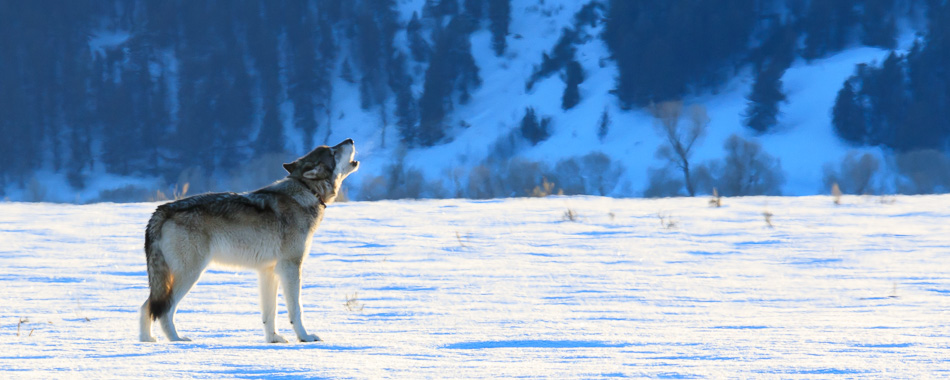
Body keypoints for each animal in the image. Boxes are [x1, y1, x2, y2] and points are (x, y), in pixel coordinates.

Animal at [140, 138, 360, 342]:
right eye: (333, 152)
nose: (350, 139)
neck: (306, 191)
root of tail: (162, 210)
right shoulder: (290, 267)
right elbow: (296, 309)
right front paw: (305, 337)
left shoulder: (268, 271)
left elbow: (269, 313)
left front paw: (273, 340)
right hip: (190, 274)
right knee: (164, 309)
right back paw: (177, 341)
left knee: (146, 306)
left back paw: (146, 341)